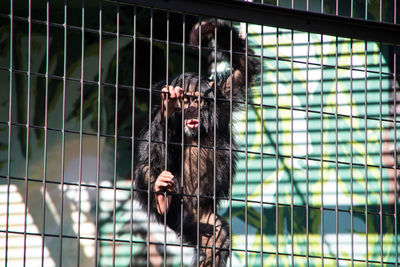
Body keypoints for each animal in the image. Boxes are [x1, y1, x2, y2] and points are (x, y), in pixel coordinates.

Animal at [134, 19, 260, 266]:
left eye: (196, 100)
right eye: (184, 101)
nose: (191, 108)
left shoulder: (224, 94)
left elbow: (244, 68)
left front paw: (209, 28)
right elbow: (150, 152)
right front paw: (168, 107)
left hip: (203, 221)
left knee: (215, 241)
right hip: (176, 209)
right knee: (146, 170)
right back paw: (161, 195)